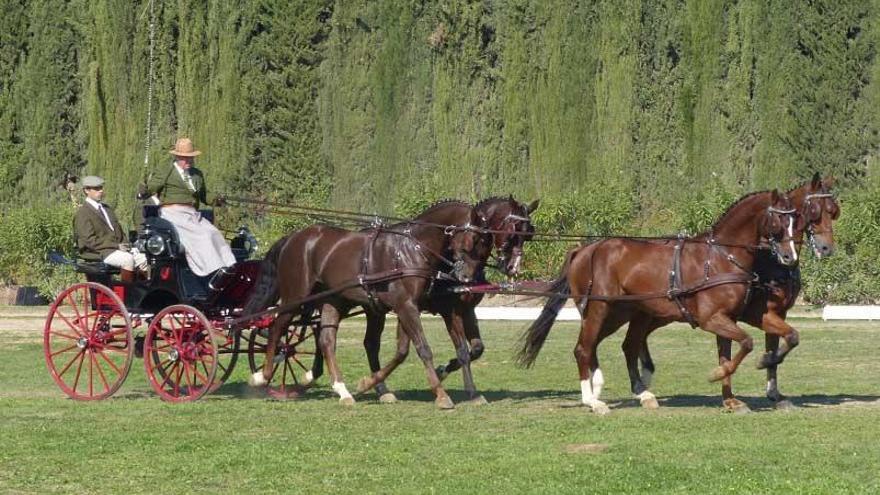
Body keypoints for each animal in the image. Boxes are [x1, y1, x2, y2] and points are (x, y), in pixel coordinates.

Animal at [244, 202, 492, 410]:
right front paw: (441, 395)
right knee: (278, 328)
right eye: (476, 239)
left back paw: (342, 390)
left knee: (326, 341)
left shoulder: (410, 307)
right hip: (296, 296)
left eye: (485, 242)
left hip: (332, 300)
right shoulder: (406, 306)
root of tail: (293, 238)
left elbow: (406, 350)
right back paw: (262, 376)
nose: (467, 277)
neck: (412, 249)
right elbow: (423, 349)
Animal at [354, 196, 540, 404]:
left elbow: (476, 348)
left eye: (528, 234)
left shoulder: (467, 310)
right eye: (510, 234)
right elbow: (462, 350)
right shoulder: (450, 311)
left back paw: (380, 388)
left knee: (372, 343)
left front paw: (443, 370)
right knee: (371, 344)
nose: (512, 268)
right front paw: (470, 392)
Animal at [516, 190, 796, 414]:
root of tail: (584, 249)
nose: (789, 257)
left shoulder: (741, 316)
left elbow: (787, 336)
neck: (721, 257)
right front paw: (720, 375)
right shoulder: (712, 319)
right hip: (599, 309)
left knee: (613, 346)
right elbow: (746, 343)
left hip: (621, 313)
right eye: (780, 220)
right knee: (583, 349)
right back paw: (593, 401)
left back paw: (635, 394)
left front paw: (761, 367)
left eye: (795, 221)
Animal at [632, 173, 840, 410]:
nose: (826, 248)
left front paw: (772, 391)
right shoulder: (754, 314)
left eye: (833, 211)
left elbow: (786, 341)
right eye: (814, 210)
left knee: (639, 338)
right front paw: (737, 386)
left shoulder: (777, 313)